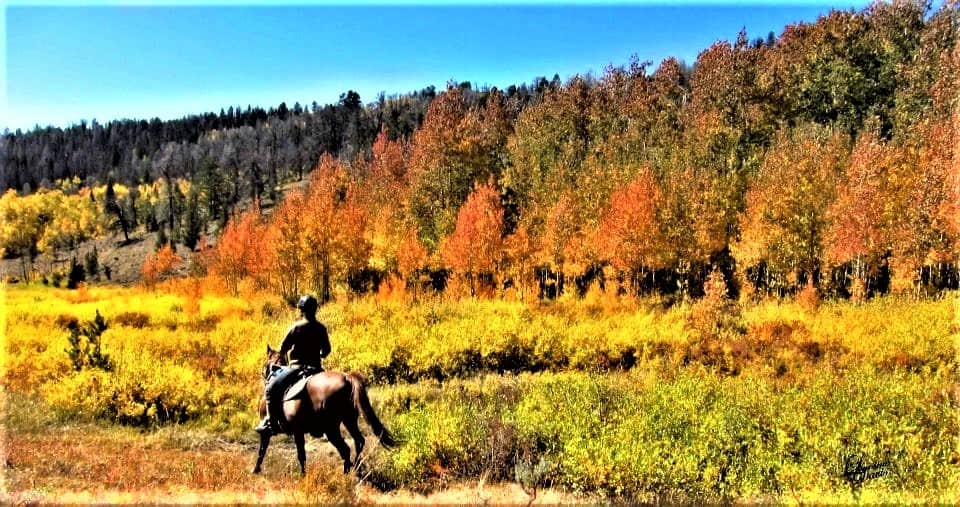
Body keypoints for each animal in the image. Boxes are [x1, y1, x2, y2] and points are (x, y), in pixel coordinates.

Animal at [253, 348, 396, 474]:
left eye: (266, 363)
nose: (263, 374)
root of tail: (347, 378)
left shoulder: (280, 432)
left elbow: (264, 450)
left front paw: (256, 470)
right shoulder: (298, 432)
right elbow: (300, 454)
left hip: (331, 429)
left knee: (345, 449)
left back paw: (346, 473)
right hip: (349, 420)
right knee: (359, 441)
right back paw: (357, 468)